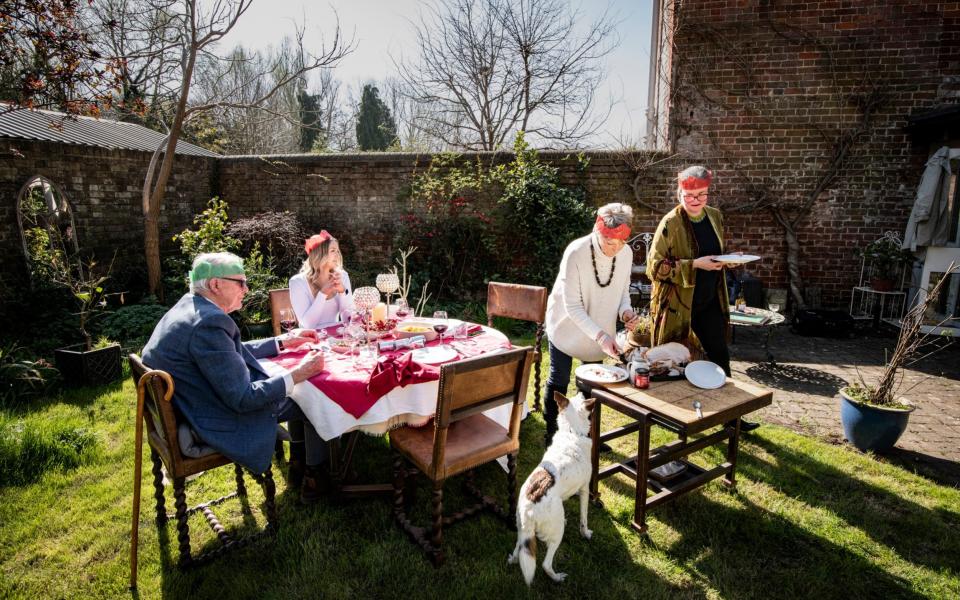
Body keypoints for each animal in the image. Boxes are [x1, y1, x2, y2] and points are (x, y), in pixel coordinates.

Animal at [510, 392, 592, 584]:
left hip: (522, 530)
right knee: (545, 564)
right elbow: (584, 518)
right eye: (581, 397)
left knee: (519, 550)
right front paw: (585, 533)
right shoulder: (585, 489)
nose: (583, 392)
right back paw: (557, 577)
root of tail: (529, 505)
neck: (572, 432)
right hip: (556, 533)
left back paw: (513, 559)